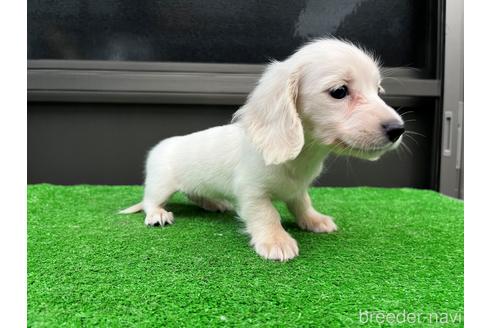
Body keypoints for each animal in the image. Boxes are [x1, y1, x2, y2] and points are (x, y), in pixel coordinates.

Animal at [120, 39, 404, 262]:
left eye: (378, 90)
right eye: (339, 91)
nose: (398, 129)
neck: (301, 156)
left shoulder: (297, 189)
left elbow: (302, 204)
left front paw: (314, 220)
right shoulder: (252, 192)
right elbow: (267, 215)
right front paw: (277, 241)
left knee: (195, 194)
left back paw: (214, 203)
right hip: (161, 184)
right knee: (150, 201)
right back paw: (157, 214)